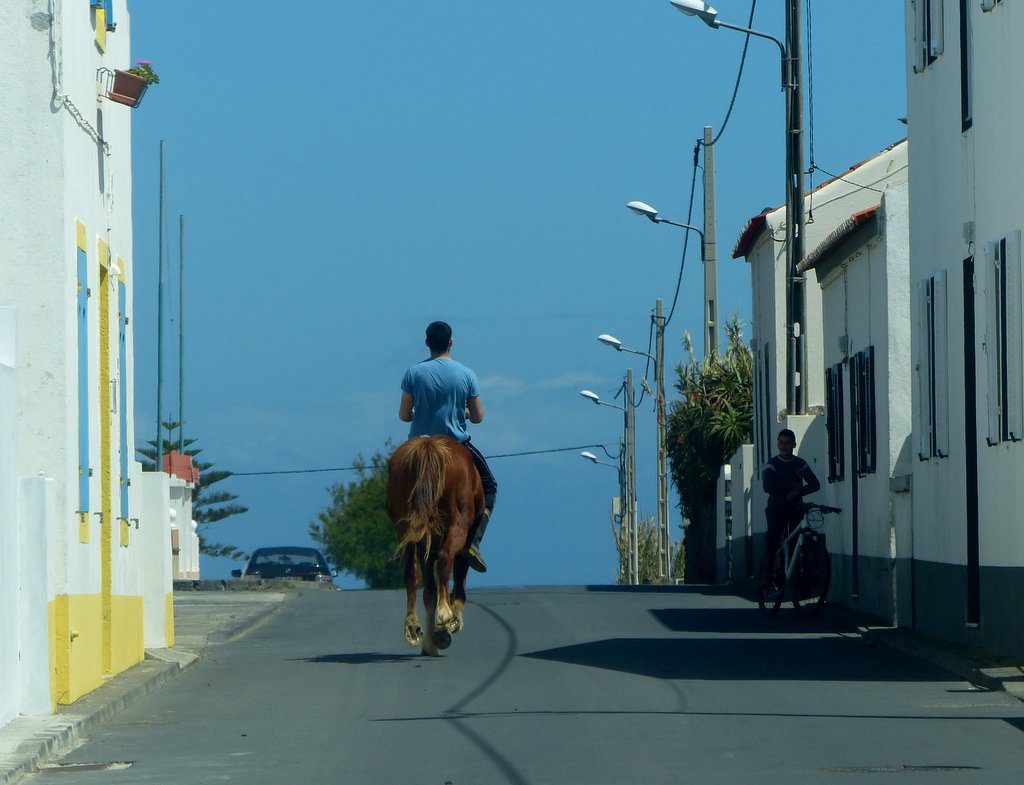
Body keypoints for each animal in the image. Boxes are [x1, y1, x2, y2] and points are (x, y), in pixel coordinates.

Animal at [386, 435, 485, 656]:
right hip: (458, 525)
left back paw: (412, 626)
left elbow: (429, 591)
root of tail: (428, 445)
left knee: (410, 572)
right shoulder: (462, 541)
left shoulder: (425, 547)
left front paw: (430, 643)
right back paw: (445, 615)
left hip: (406, 528)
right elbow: (458, 577)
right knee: (446, 559)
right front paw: (449, 625)